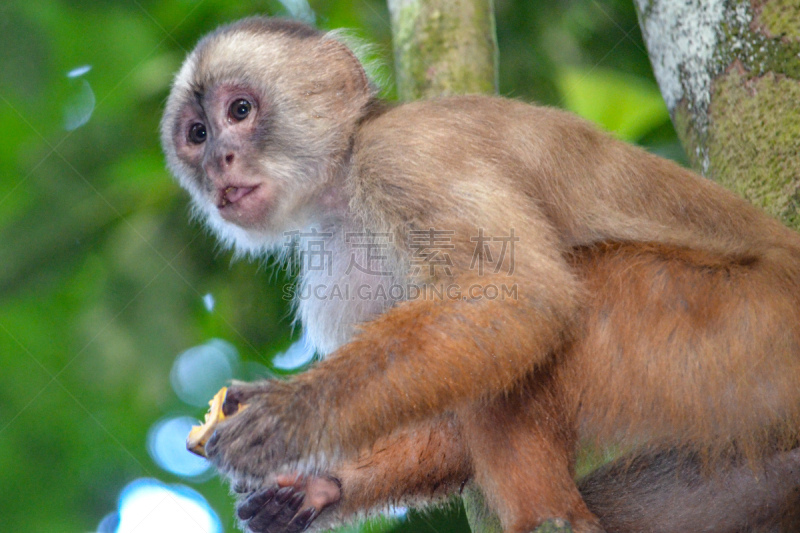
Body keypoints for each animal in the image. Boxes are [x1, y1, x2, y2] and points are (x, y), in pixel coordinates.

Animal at [159, 15, 800, 532]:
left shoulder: (404, 156)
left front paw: (289, 417)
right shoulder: (334, 263)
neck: (343, 185)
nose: (219, 164)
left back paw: (554, 521)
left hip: (745, 333)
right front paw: (317, 489)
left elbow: (520, 297)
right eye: (197, 134)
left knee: (559, 308)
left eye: (240, 111)